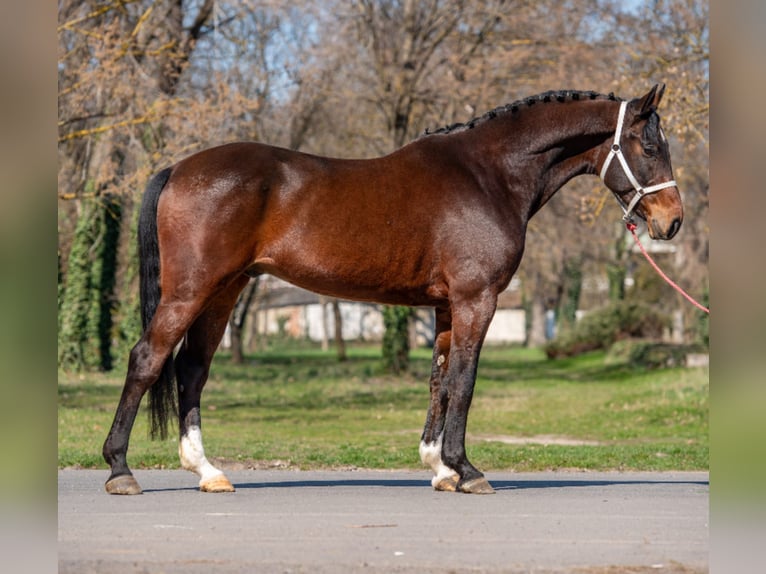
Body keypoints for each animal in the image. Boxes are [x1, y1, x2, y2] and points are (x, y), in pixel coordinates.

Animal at [103, 84, 683, 495]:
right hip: (191, 291)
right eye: (650, 145)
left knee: (191, 370)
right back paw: (120, 469)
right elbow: (465, 382)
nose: (672, 222)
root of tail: (180, 167)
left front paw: (439, 468)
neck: (487, 174)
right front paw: (467, 469)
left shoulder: (447, 307)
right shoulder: (477, 300)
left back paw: (207, 471)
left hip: (224, 292)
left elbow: (440, 381)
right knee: (147, 358)